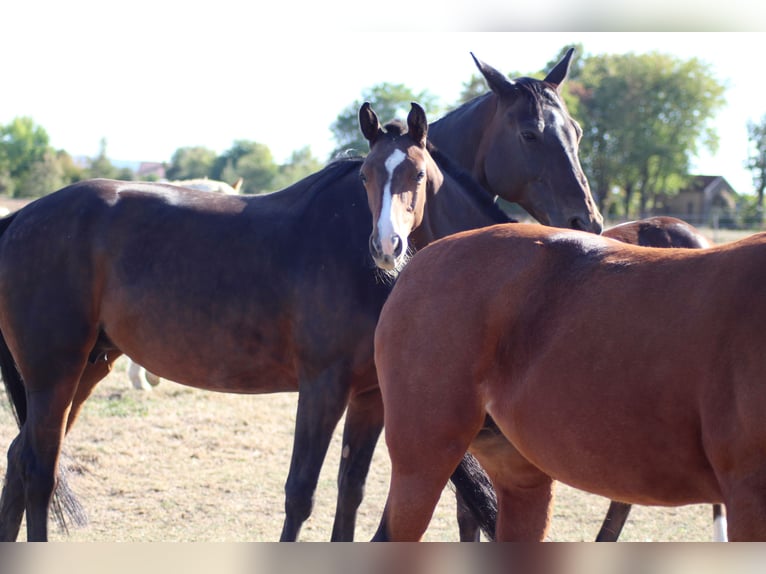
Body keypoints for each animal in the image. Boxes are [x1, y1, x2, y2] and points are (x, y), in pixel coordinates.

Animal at [0, 50, 601, 542]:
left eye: (574, 130)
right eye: (529, 133)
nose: (587, 220)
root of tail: (20, 218)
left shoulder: (371, 397)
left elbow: (350, 495)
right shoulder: (321, 388)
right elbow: (301, 495)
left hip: (85, 367)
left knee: (21, 460)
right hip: (55, 373)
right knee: (38, 469)